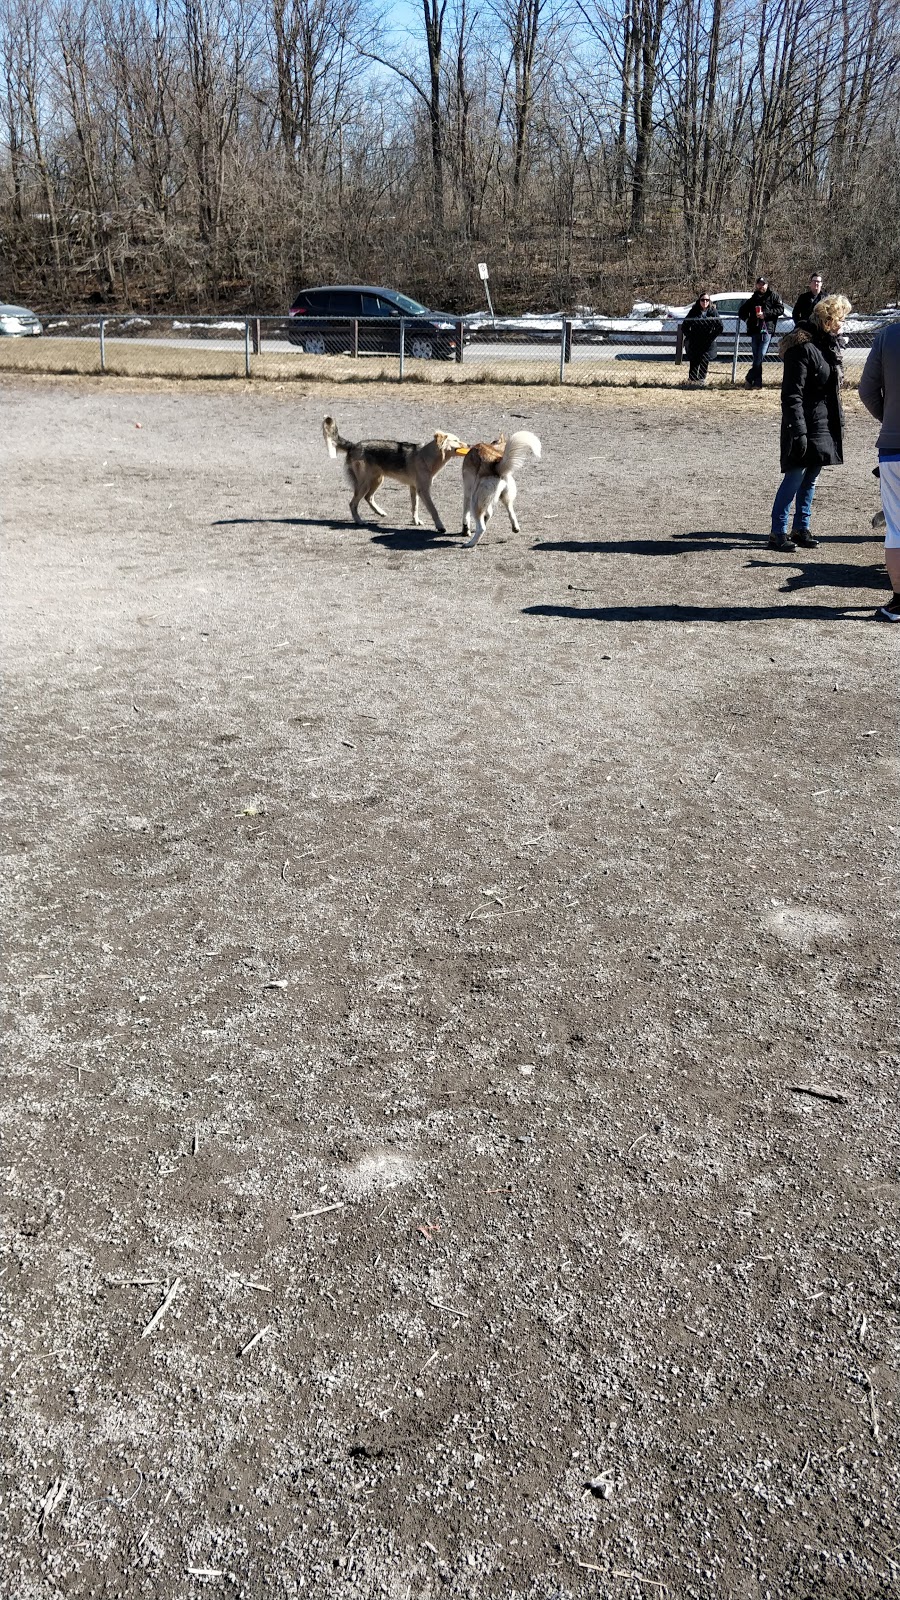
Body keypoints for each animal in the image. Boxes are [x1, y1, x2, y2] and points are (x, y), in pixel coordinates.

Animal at [321, 412, 464, 531]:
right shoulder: (423, 490)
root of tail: (354, 445)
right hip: (365, 484)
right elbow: (434, 510)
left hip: (377, 480)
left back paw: (380, 512)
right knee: (353, 504)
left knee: (368, 497)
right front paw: (440, 526)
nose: (468, 445)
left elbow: (415, 507)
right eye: (456, 441)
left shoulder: (414, 488)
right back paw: (359, 521)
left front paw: (416, 521)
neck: (426, 457)